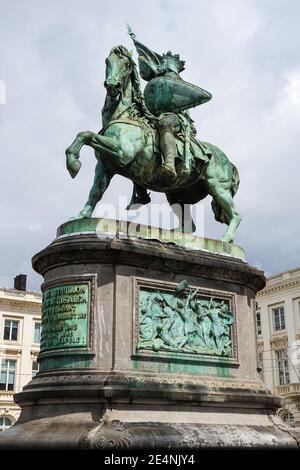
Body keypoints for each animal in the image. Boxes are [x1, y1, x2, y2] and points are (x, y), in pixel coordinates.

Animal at [65, 45, 241, 242]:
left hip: (218, 187)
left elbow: (86, 135)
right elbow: (95, 191)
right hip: (176, 194)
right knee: (190, 225)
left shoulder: (122, 153)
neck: (125, 115)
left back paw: (225, 240)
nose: (111, 85)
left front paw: (73, 163)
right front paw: (80, 215)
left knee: (235, 214)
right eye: (107, 61)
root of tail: (228, 162)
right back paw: (172, 235)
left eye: (126, 64)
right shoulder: (105, 166)